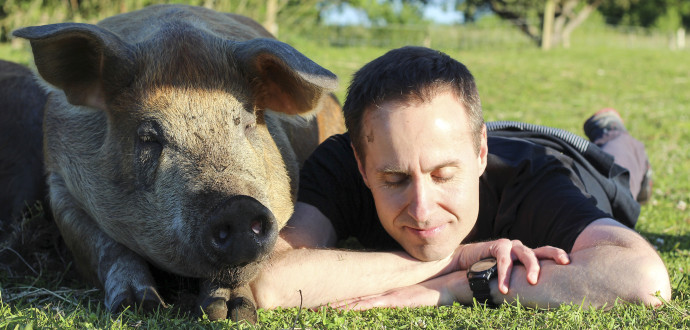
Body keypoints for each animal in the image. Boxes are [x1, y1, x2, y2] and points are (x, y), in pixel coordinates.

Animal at [11, 3, 344, 322]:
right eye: (148, 137)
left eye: (248, 124)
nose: (237, 206)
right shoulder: (59, 182)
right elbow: (108, 248)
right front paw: (138, 307)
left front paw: (232, 313)